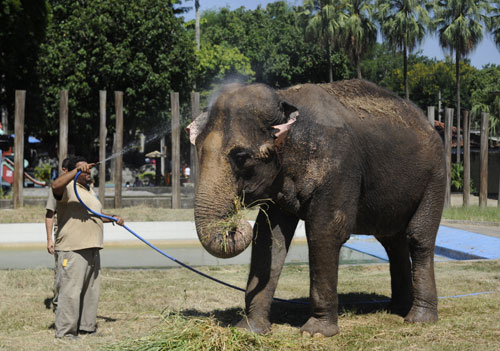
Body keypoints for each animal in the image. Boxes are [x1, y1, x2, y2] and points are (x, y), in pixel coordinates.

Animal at [188, 79, 446, 338]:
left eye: (240, 156)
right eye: (196, 147)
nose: (234, 224)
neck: (286, 98)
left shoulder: (339, 167)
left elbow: (325, 231)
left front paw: (315, 333)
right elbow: (269, 237)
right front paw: (250, 330)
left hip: (435, 178)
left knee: (418, 238)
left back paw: (418, 319)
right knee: (392, 242)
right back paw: (396, 308)